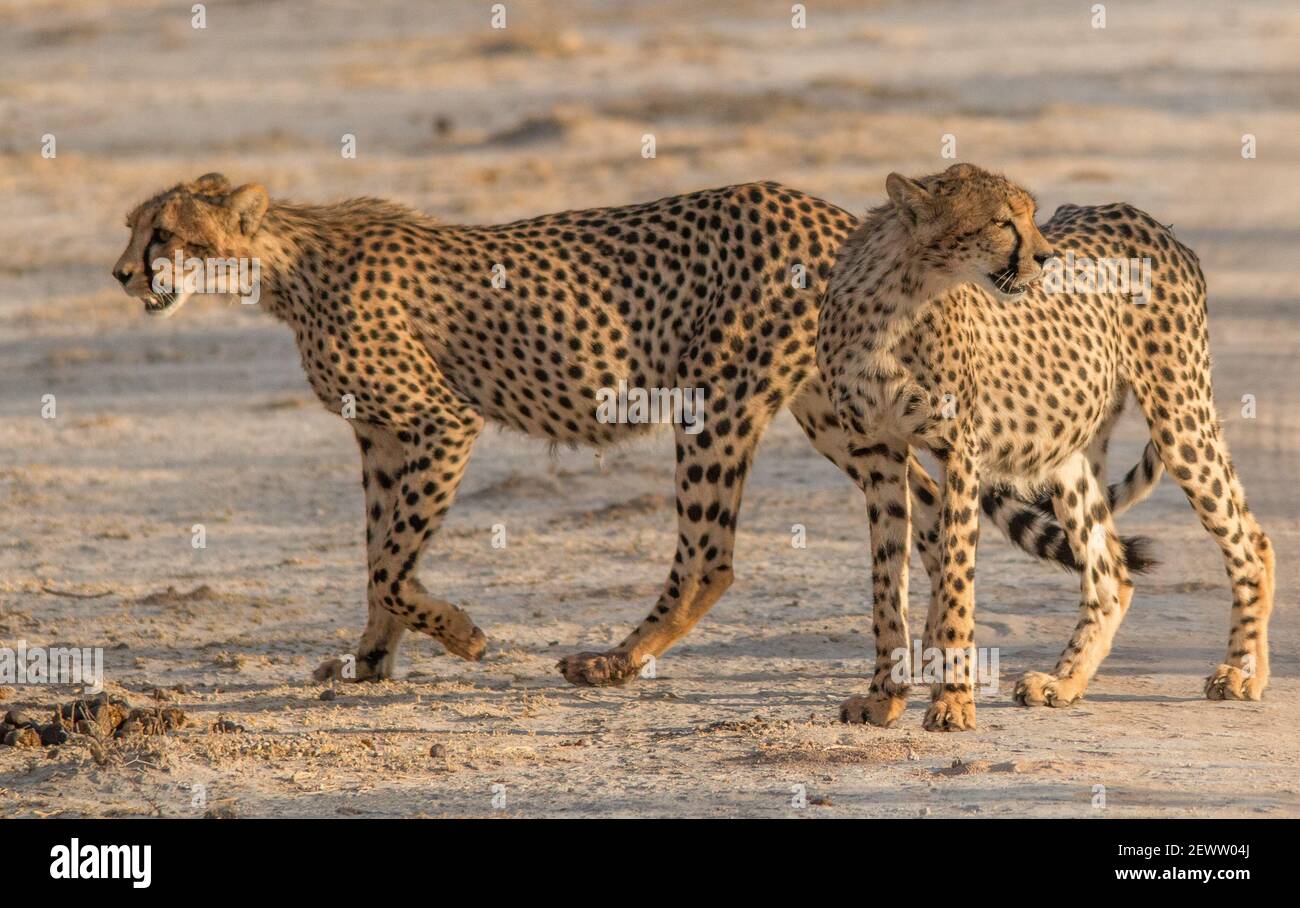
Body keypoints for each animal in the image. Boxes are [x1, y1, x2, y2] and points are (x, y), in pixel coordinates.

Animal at [111, 169, 1128, 686]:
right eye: (132, 225)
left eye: (164, 233)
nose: (121, 274)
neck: (282, 266)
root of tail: (824, 206)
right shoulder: (383, 440)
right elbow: (377, 557)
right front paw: (368, 659)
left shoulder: (439, 423)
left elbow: (392, 563)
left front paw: (461, 636)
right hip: (831, 410)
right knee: (922, 506)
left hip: (720, 404)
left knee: (711, 557)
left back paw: (617, 658)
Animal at [816, 162, 1274, 728]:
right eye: (1001, 221)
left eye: (1032, 216)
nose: (1046, 258)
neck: (900, 300)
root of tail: (1144, 219)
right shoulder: (877, 455)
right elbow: (886, 586)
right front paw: (884, 696)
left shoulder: (959, 452)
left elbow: (955, 582)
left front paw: (952, 701)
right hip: (1070, 454)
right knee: (1111, 574)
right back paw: (1064, 681)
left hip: (1179, 416)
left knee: (1250, 542)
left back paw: (1243, 670)